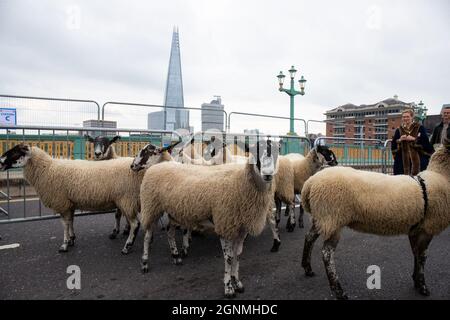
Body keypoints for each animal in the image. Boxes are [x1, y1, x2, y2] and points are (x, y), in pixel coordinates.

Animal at [131, 139, 278, 298]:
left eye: (277, 153)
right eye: (254, 152)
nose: (132, 165)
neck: (241, 182)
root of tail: (157, 166)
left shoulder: (240, 227)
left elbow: (237, 256)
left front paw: (237, 282)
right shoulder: (224, 224)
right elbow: (229, 258)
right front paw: (228, 288)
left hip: (169, 210)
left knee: (169, 233)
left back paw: (175, 257)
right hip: (151, 206)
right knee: (147, 237)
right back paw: (145, 263)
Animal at [298, 140, 450, 300]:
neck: (441, 175)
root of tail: (309, 183)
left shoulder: (416, 229)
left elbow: (416, 253)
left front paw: (416, 280)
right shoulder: (428, 227)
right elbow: (422, 256)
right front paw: (423, 286)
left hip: (322, 218)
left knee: (309, 237)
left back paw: (307, 268)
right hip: (333, 218)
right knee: (327, 253)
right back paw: (339, 291)